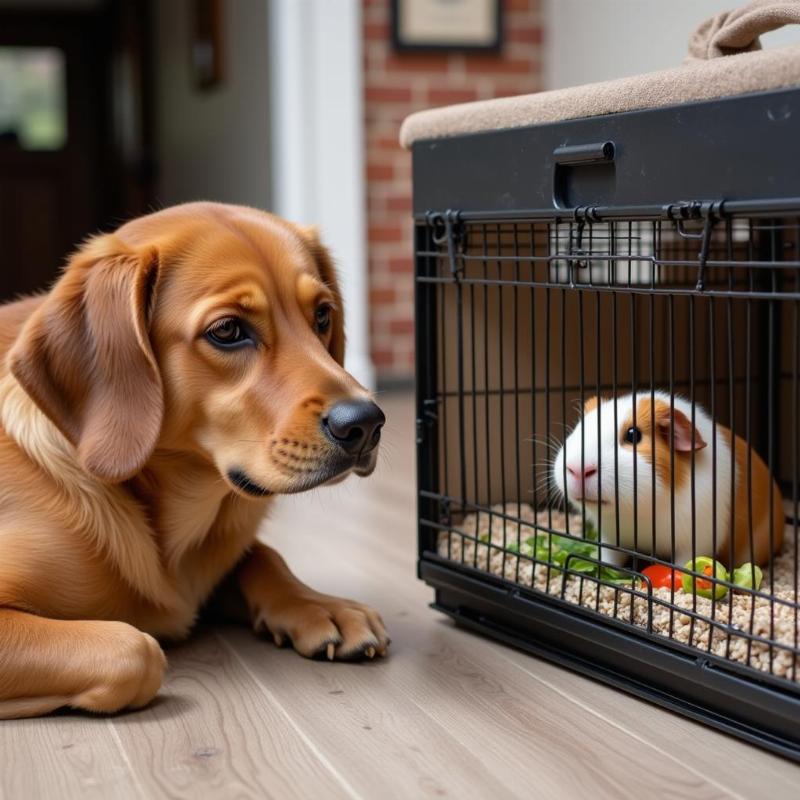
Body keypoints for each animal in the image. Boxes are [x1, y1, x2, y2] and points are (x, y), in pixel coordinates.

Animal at [0, 200, 390, 720]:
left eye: (323, 314)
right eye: (227, 330)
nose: (367, 423)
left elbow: (263, 555)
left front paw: (319, 603)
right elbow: (134, 650)